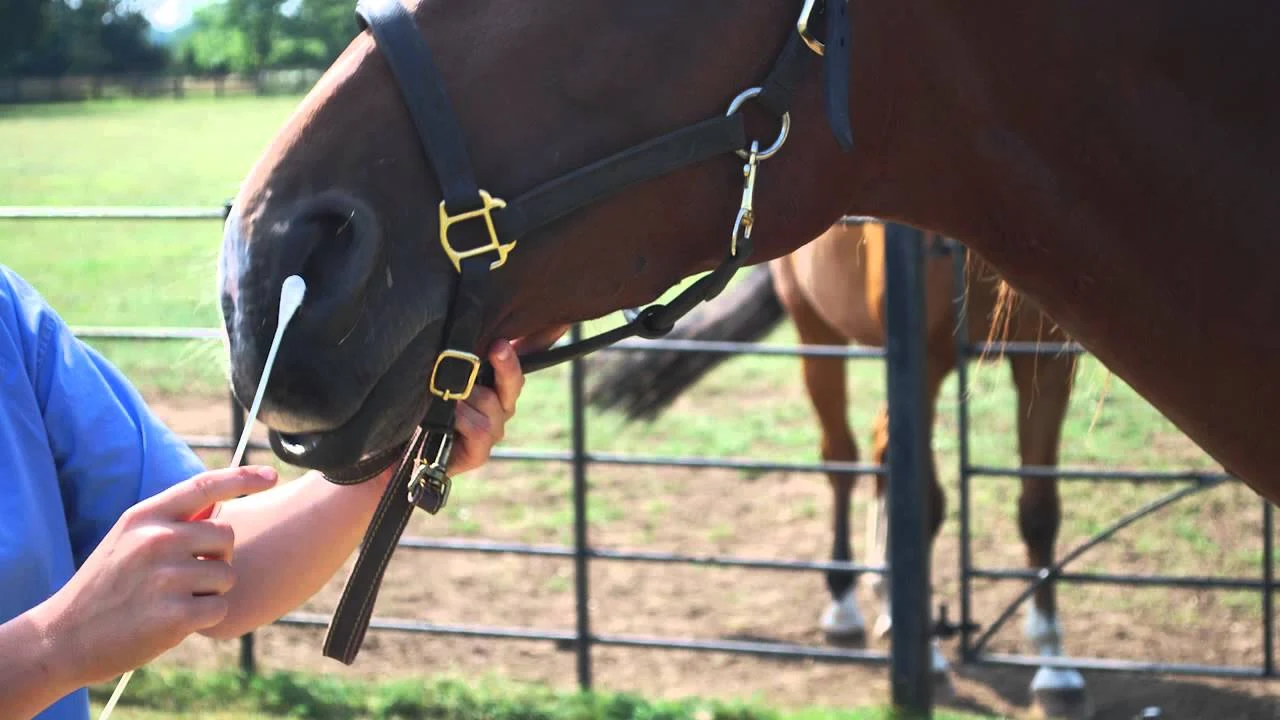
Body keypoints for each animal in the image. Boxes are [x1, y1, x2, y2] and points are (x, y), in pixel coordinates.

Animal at [586, 219, 1085, 717]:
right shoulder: (926, 362)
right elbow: (924, 505)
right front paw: (930, 657)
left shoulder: (1048, 363)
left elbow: (1039, 513)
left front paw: (1055, 668)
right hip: (816, 331)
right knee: (842, 457)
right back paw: (846, 604)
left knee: (884, 447)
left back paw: (887, 598)